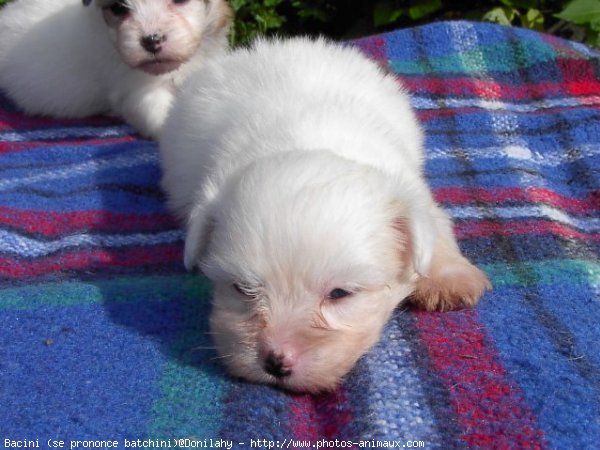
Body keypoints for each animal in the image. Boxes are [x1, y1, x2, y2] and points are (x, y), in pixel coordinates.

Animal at [159, 37, 492, 392]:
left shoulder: (413, 191)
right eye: (243, 288)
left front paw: (448, 279)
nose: (275, 362)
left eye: (339, 294)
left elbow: (436, 228)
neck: (307, 141)